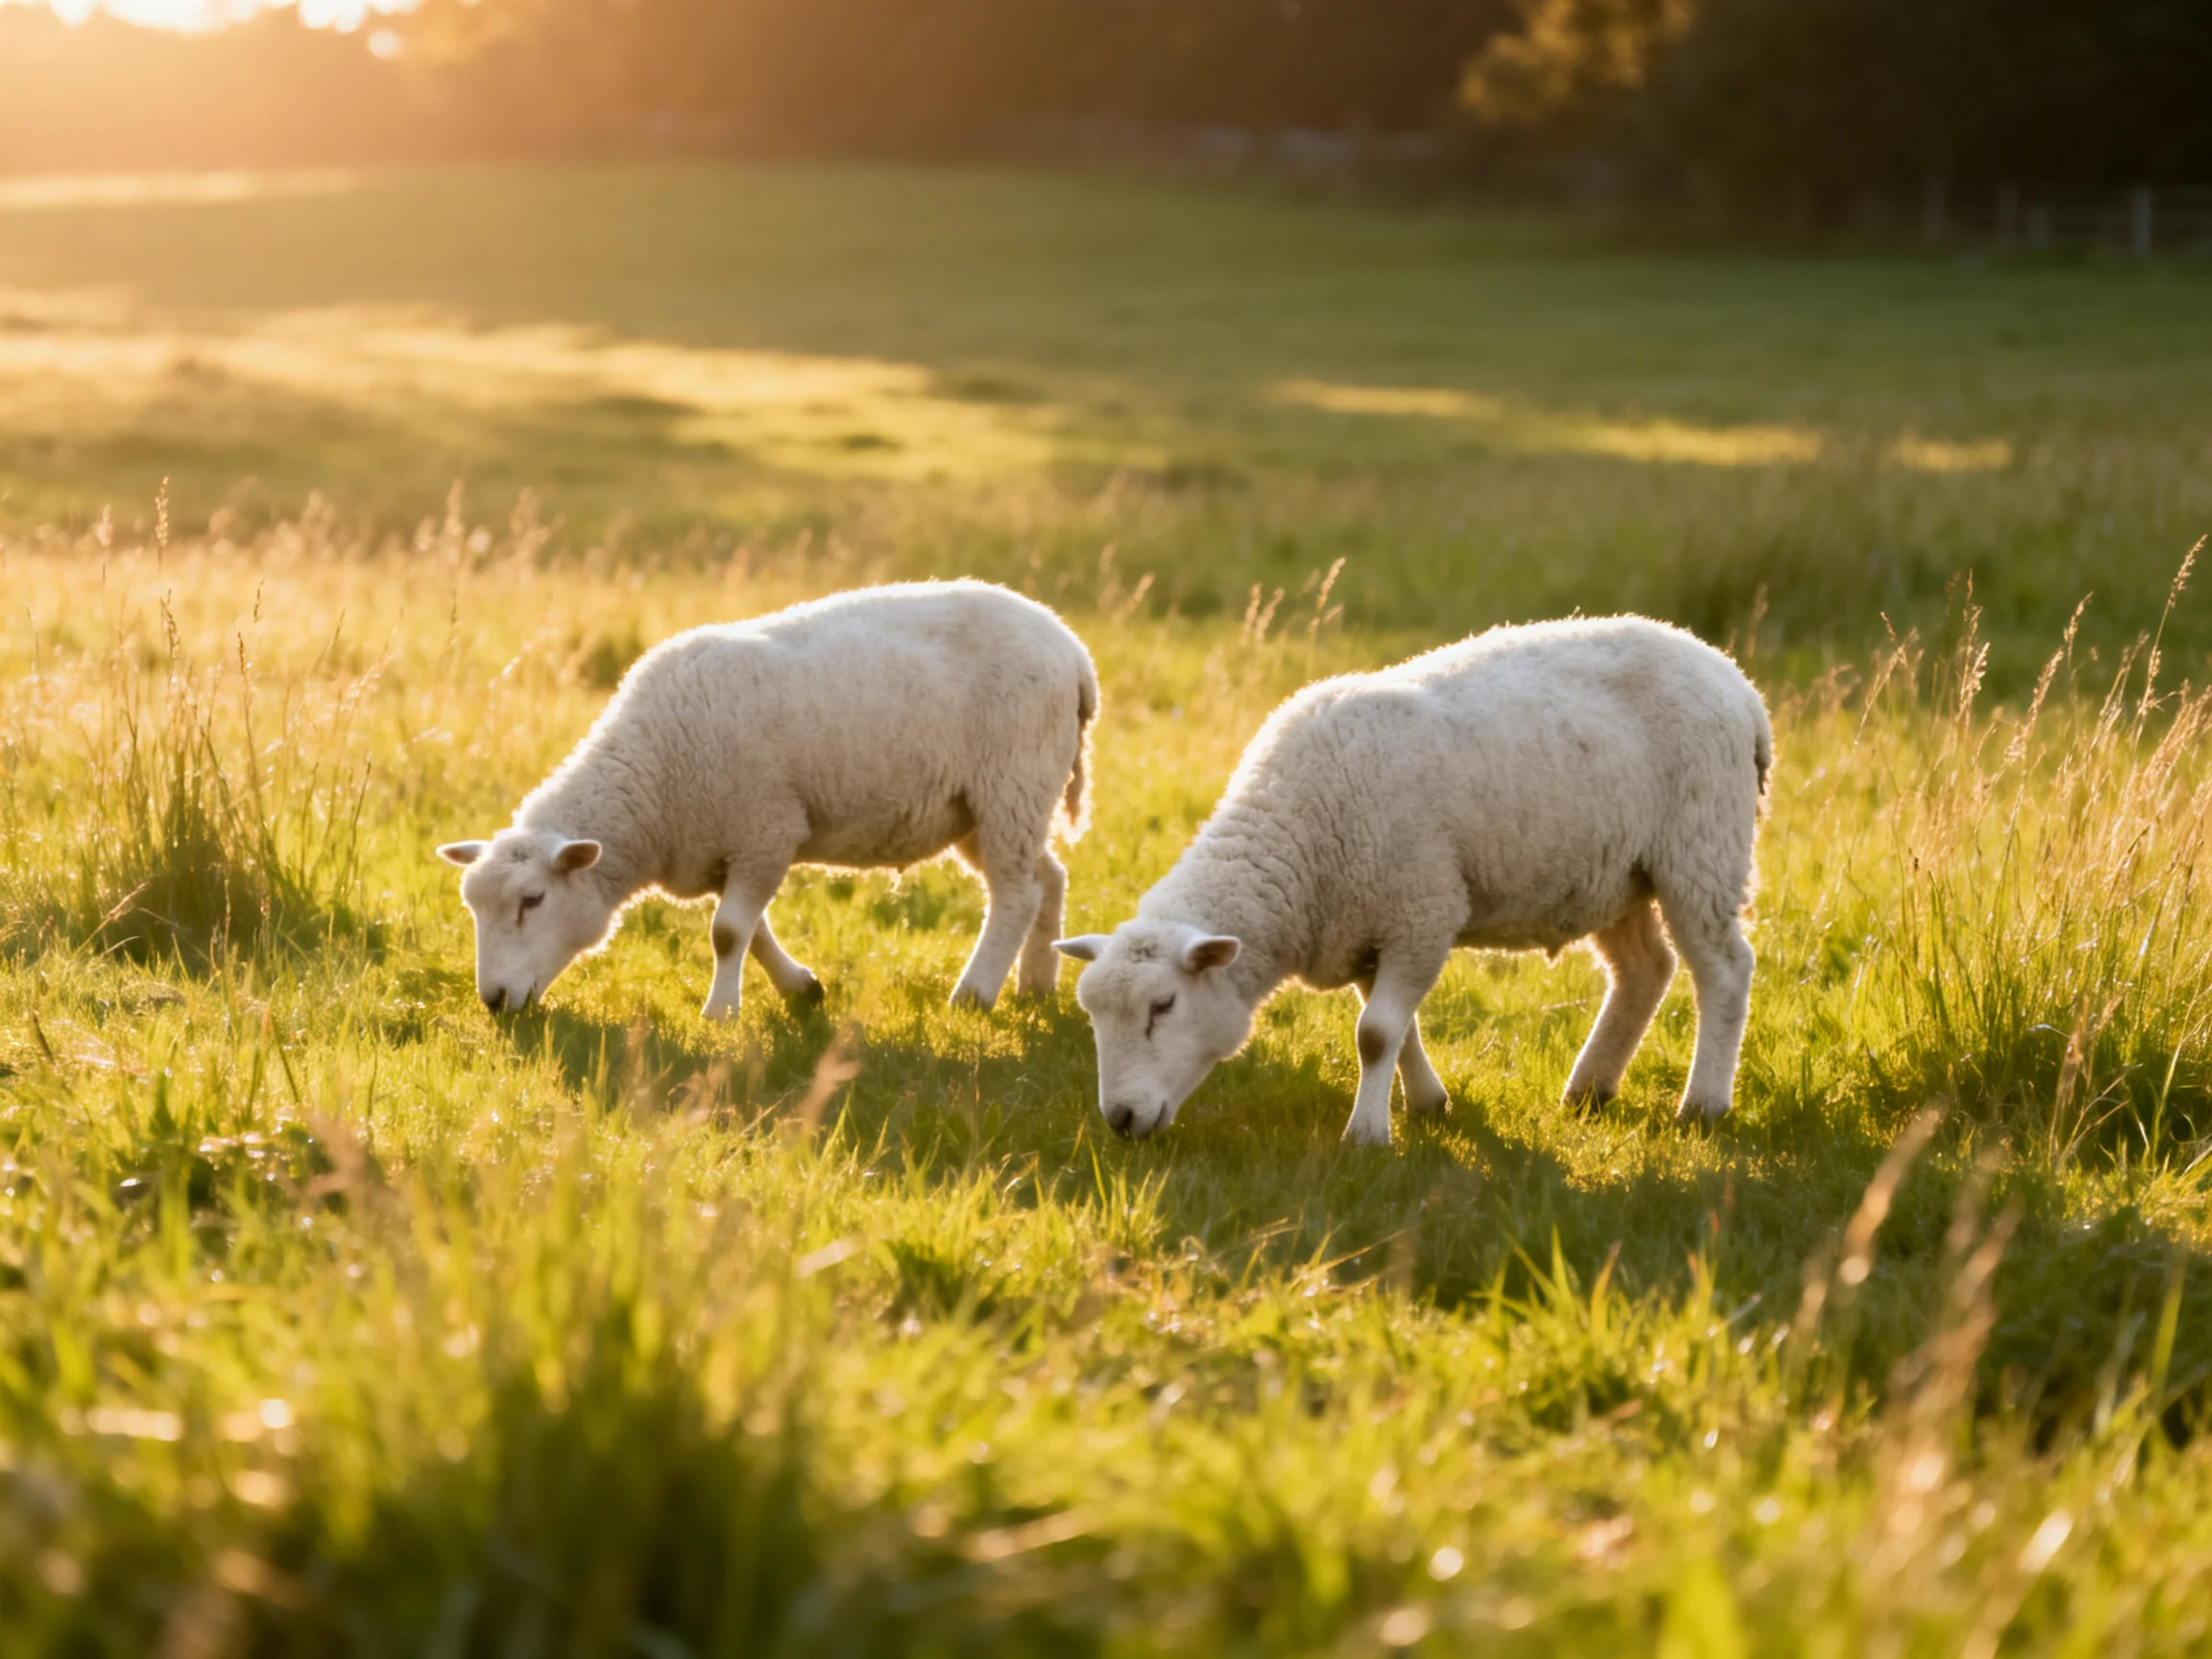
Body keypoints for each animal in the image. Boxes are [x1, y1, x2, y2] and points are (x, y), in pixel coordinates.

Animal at [437, 580, 1098, 1021]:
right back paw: (1036, 985)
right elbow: (751, 931)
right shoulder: (728, 847)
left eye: (532, 901)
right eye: (473, 907)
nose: (493, 1001)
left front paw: (720, 1014)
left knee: (1015, 895)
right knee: (1049, 878)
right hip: (989, 806)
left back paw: (975, 994)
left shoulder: (767, 828)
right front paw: (802, 988)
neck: (655, 784)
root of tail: (1072, 649)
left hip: (1010, 781)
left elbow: (729, 932)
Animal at [1055, 615, 1770, 1146]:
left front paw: (1367, 1135)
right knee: (1645, 970)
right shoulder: (1368, 929)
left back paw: (1703, 1104)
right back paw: (1590, 1088)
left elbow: (1374, 1034)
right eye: (1092, 1014)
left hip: (1701, 847)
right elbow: (1395, 1031)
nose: (1120, 1119)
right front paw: (1427, 1103)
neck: (1299, 842)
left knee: (1724, 969)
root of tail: (1735, 679)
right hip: (1616, 873)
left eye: (1163, 1006)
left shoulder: (1423, 911)